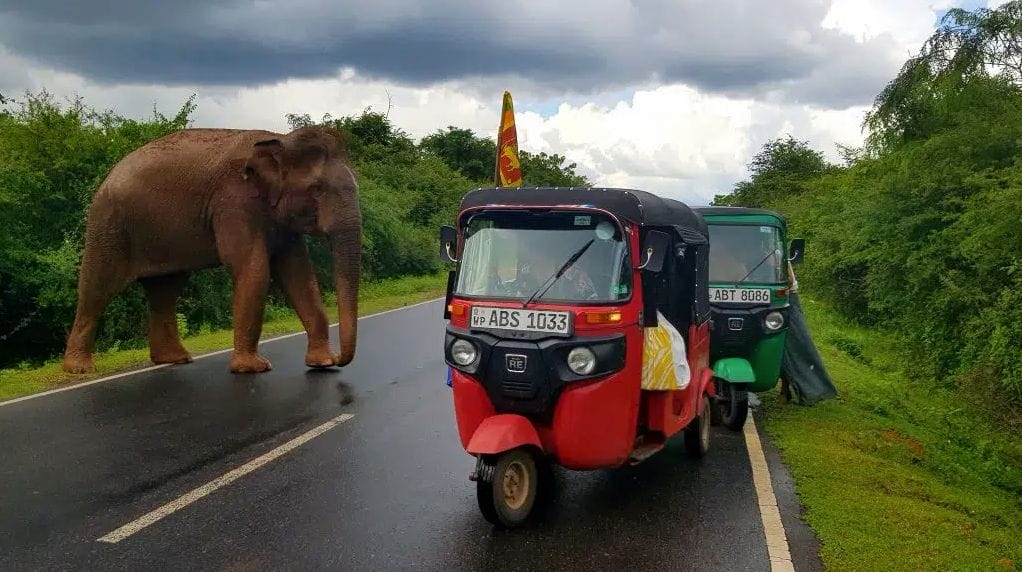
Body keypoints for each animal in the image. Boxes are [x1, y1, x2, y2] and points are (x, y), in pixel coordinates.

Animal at [60, 125, 363, 375]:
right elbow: (253, 268)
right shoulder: (233, 202)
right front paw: (253, 369)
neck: (280, 139)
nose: (340, 360)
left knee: (165, 290)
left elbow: (299, 273)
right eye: (317, 189)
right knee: (98, 287)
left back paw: (175, 359)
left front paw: (322, 363)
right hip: (108, 226)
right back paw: (79, 369)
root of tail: (109, 175)